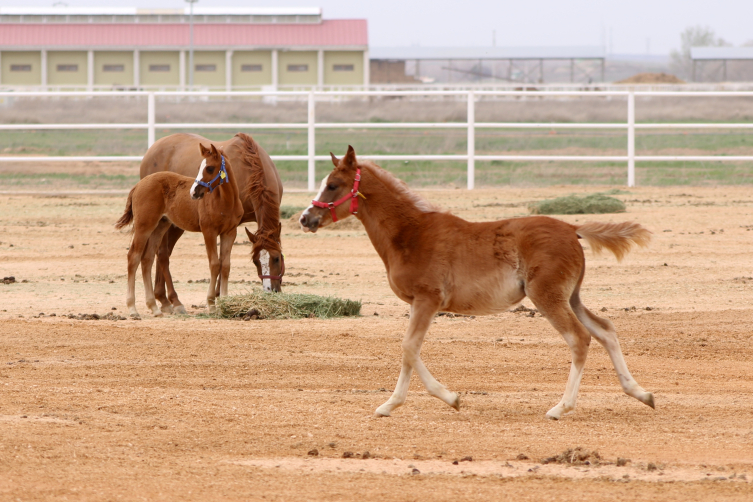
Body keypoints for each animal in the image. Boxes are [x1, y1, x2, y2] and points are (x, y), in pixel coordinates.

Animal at [115, 143, 244, 320]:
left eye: (210, 168)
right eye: (199, 167)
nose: (194, 193)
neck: (225, 201)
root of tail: (139, 184)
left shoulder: (230, 233)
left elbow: (225, 265)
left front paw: (225, 303)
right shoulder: (209, 232)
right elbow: (214, 264)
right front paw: (211, 305)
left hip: (160, 226)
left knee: (147, 258)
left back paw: (154, 307)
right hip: (144, 226)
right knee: (133, 256)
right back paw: (133, 309)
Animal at [140, 133, 284, 314]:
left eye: (277, 259)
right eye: (256, 261)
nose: (270, 291)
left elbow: (224, 262)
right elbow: (219, 262)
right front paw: (216, 296)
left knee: (163, 253)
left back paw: (162, 297)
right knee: (163, 254)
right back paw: (172, 300)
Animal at [298, 147, 652, 422]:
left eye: (333, 185)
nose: (305, 218)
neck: (411, 234)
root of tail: (572, 228)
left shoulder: (427, 299)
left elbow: (409, 347)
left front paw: (447, 399)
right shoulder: (418, 303)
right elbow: (410, 349)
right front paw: (391, 405)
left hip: (547, 296)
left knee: (580, 339)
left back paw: (560, 408)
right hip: (571, 297)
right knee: (605, 330)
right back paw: (641, 393)